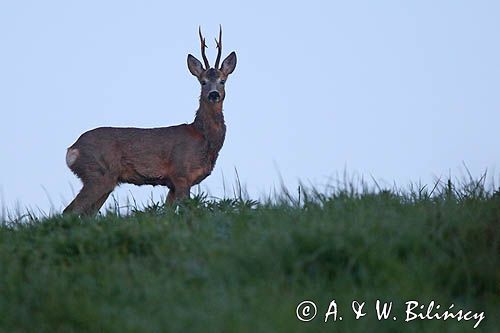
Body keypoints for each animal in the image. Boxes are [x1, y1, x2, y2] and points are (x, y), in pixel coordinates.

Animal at [63, 26, 237, 215]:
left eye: (222, 81)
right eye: (203, 82)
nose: (214, 94)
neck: (203, 138)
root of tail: (72, 149)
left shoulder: (172, 184)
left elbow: (167, 212)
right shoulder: (181, 174)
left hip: (106, 179)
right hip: (98, 173)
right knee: (69, 210)